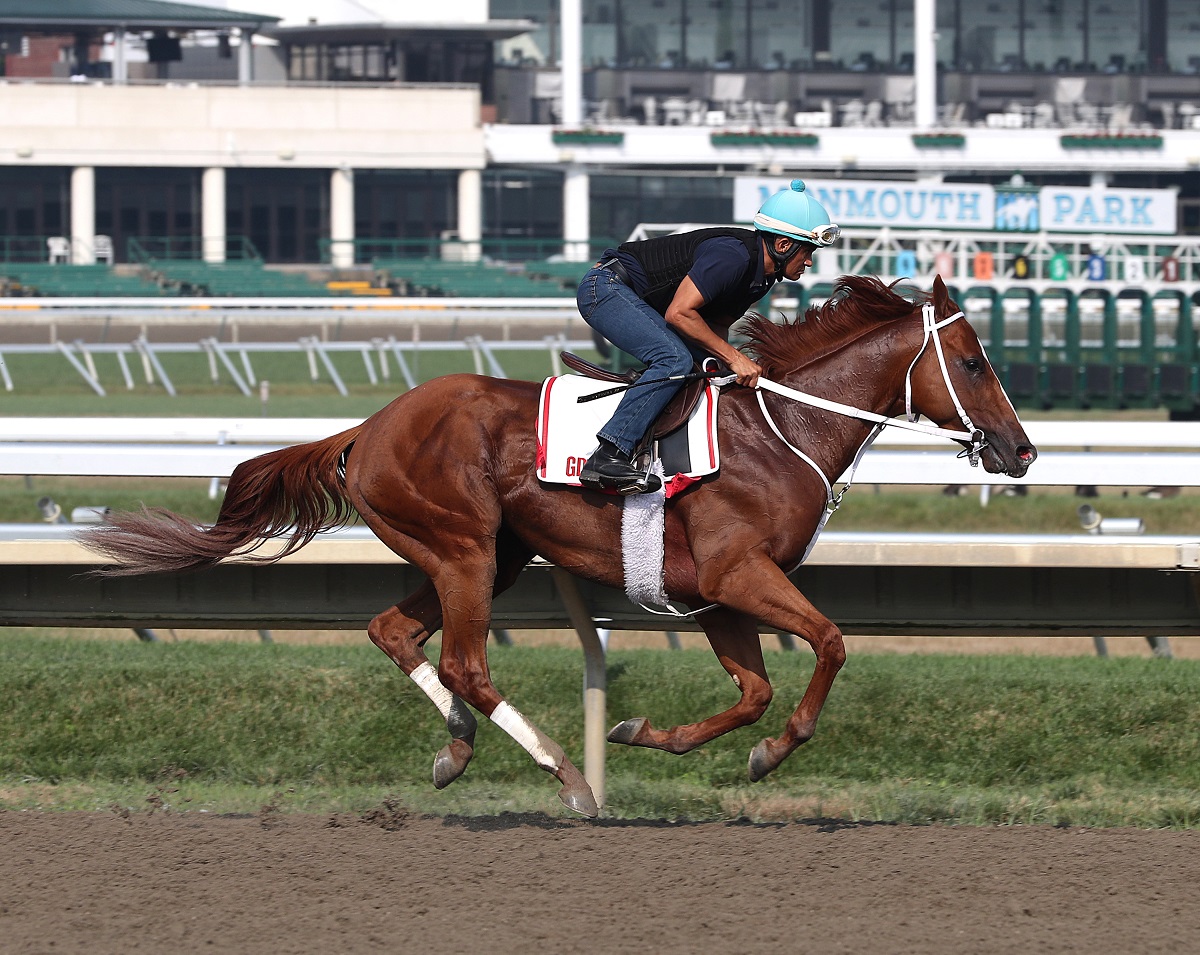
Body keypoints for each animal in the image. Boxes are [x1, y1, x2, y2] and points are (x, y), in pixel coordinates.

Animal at [87, 272, 1041, 815]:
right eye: (977, 361)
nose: (1022, 449)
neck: (784, 430)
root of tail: (371, 424)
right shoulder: (740, 571)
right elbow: (830, 647)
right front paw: (770, 753)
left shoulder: (711, 591)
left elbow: (753, 690)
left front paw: (646, 731)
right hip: (465, 549)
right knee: (466, 661)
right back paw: (565, 778)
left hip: (486, 554)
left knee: (395, 632)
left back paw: (457, 746)